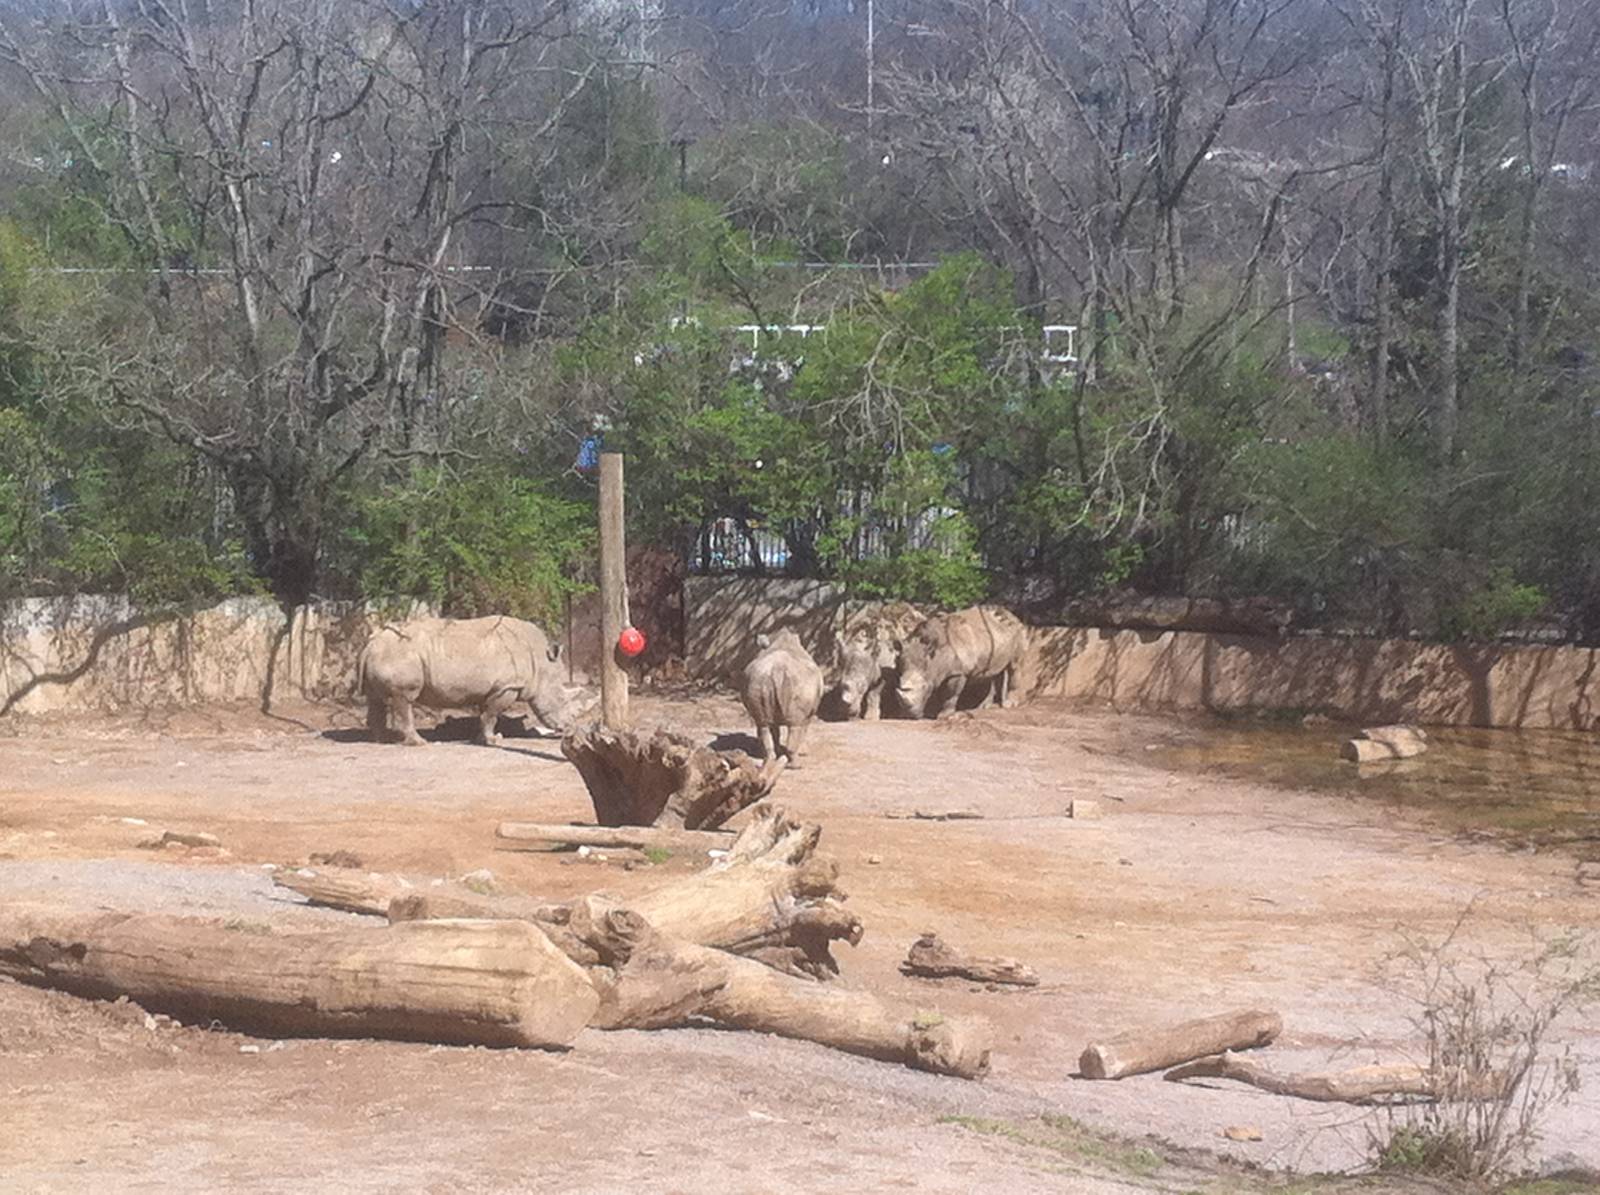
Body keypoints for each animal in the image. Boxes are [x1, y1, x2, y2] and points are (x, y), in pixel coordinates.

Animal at [357, 616, 595, 746]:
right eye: (563, 701)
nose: (568, 729)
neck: (541, 663)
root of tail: (371, 642)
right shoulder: (507, 687)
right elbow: (492, 715)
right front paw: (494, 740)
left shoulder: (492, 688)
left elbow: (485, 714)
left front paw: (482, 739)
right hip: (400, 654)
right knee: (403, 698)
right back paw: (419, 743)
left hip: (386, 653)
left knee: (375, 699)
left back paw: (382, 740)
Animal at [740, 628, 824, 767]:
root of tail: (777, 670)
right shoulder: (811, 710)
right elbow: (804, 727)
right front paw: (804, 752)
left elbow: (775, 730)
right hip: (799, 684)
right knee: (795, 726)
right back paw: (796, 765)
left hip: (758, 680)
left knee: (763, 724)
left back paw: (770, 758)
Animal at [893, 605, 1028, 719]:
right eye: (899, 685)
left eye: (924, 687)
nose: (908, 715)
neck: (934, 656)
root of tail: (1012, 615)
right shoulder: (938, 672)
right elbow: (942, 692)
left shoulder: (958, 672)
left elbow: (950, 694)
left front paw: (944, 716)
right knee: (993, 672)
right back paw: (985, 707)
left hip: (1018, 631)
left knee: (1015, 666)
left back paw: (1009, 704)